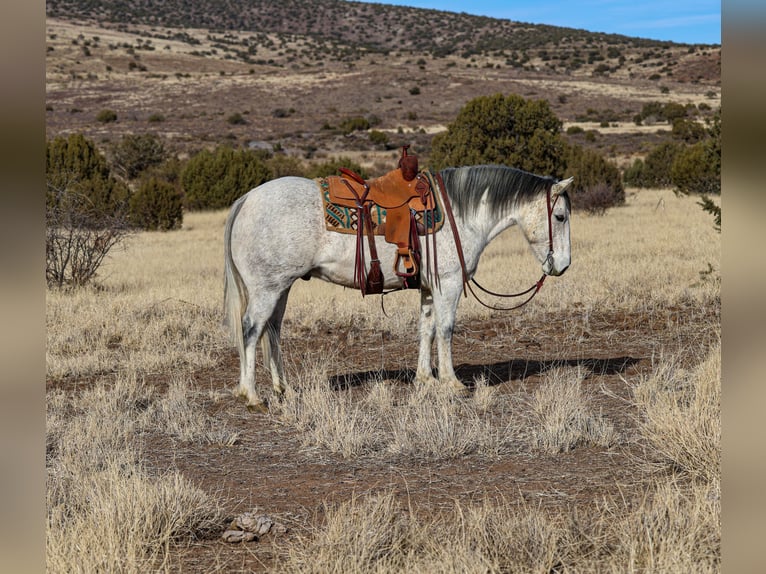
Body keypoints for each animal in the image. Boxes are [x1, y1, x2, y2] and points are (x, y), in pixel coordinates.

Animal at [222, 164, 568, 412]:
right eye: (561, 216)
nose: (562, 266)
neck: (460, 213)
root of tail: (246, 200)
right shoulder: (449, 284)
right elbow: (446, 329)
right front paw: (452, 383)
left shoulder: (429, 288)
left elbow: (426, 329)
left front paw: (426, 379)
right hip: (267, 289)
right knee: (251, 329)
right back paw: (252, 396)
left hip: (281, 288)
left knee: (272, 330)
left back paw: (285, 389)